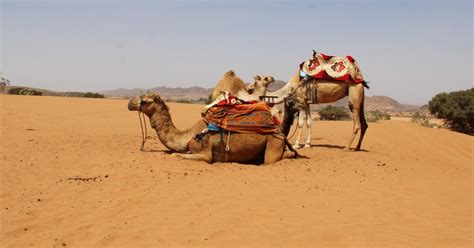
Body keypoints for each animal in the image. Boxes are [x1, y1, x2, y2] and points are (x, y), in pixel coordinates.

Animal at [128, 92, 302, 164]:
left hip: (273, 141)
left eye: (145, 100)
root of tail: (279, 131)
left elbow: (176, 155)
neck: (187, 136)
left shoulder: (205, 153)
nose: (130, 103)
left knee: (276, 157)